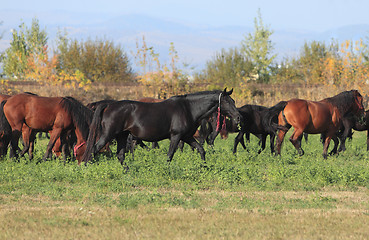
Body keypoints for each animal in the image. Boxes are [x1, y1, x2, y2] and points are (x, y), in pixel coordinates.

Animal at [81, 88, 240, 167]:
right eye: (227, 102)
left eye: (233, 101)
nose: (238, 117)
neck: (188, 108)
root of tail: (109, 105)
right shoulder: (176, 136)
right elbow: (170, 155)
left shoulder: (186, 136)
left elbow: (201, 149)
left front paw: (204, 167)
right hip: (108, 134)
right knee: (93, 150)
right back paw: (86, 168)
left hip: (122, 135)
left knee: (120, 155)